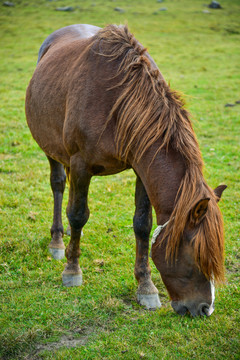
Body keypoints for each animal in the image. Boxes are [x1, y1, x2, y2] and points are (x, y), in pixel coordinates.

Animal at [26, 23, 227, 316]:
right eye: (196, 254)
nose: (204, 309)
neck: (117, 103)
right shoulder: (81, 165)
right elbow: (78, 215)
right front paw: (72, 272)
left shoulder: (141, 169)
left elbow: (142, 225)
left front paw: (146, 288)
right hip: (50, 148)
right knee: (58, 185)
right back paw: (57, 242)